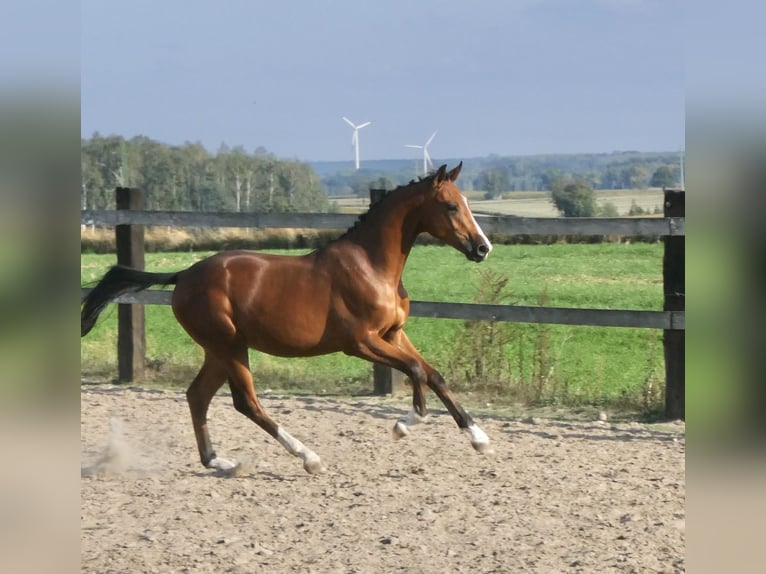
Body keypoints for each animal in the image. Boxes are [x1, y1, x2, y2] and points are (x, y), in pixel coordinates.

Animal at [81, 162, 494, 474]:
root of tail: (184, 276)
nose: (483, 248)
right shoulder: (361, 342)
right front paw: (404, 426)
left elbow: (434, 374)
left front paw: (480, 439)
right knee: (246, 403)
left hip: (219, 351)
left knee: (197, 396)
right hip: (229, 347)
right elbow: (416, 371)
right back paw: (308, 457)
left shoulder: (393, 334)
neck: (372, 266)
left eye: (465, 202)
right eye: (451, 206)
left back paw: (219, 462)